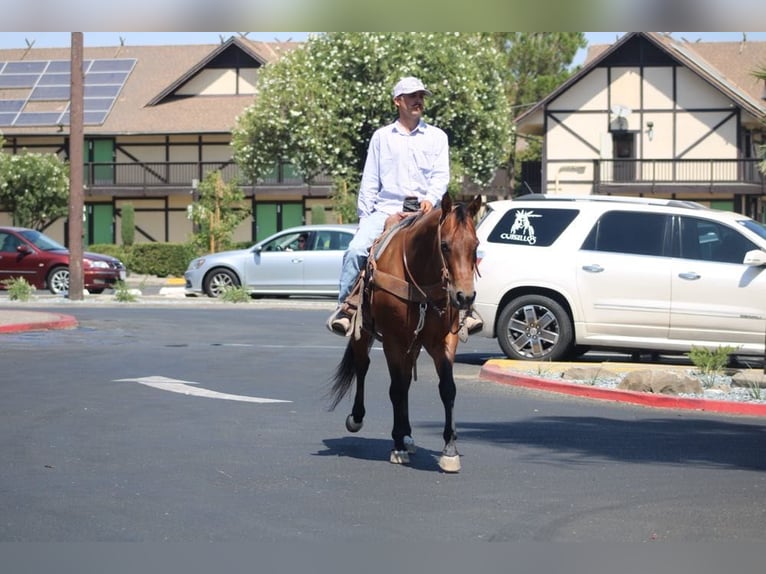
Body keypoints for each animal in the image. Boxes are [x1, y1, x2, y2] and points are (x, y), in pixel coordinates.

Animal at [328, 192, 484, 472]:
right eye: (445, 245)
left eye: (475, 245)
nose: (464, 297)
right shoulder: (393, 341)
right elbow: (396, 389)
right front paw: (397, 444)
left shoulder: (444, 340)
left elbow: (447, 389)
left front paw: (449, 450)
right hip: (363, 333)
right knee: (363, 366)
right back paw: (360, 419)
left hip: (414, 344)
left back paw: (408, 434)